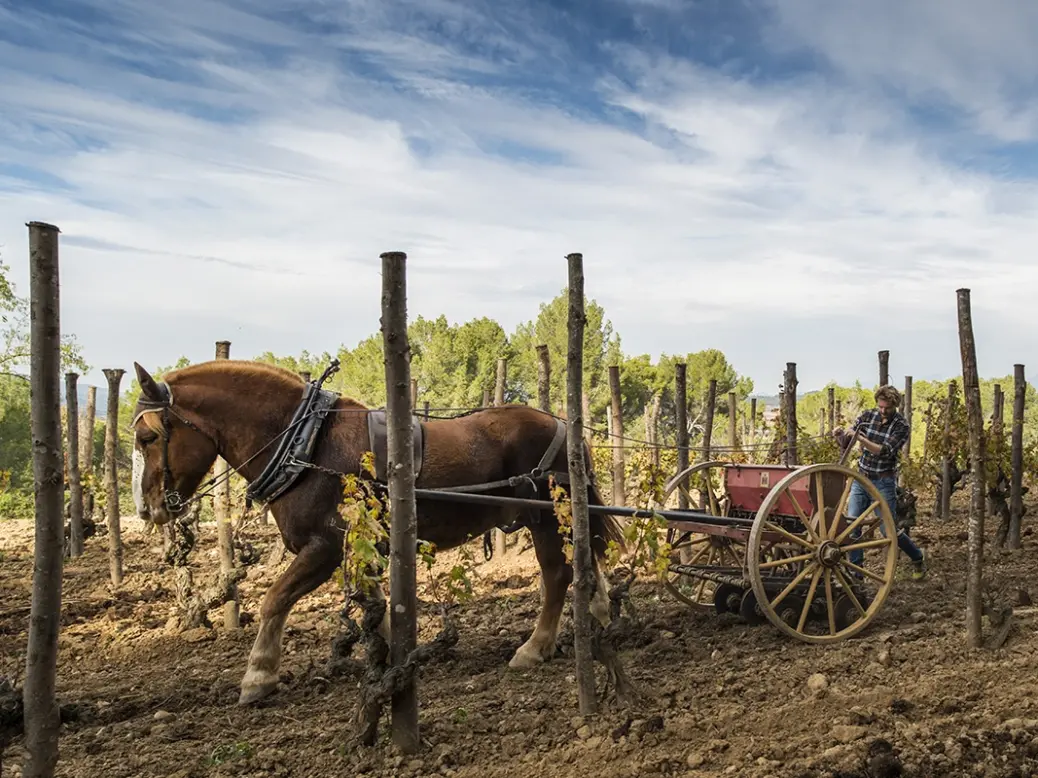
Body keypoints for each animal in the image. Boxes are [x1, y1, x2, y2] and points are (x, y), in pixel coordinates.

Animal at [125, 358, 618, 705]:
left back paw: (535, 648)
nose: (148, 508)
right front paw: (387, 663)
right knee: (584, 561)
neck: (306, 443)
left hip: (546, 516)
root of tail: (562, 424)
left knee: (557, 575)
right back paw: (600, 614)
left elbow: (274, 599)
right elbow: (376, 608)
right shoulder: (362, 550)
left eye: (147, 438)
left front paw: (258, 676)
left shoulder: (324, 547)